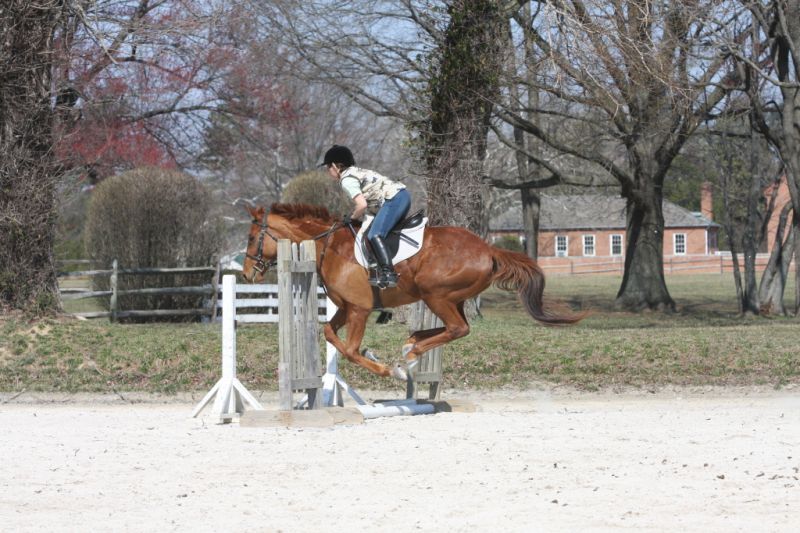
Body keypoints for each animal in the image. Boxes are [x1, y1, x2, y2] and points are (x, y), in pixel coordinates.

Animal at [241, 202, 582, 384]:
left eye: (251, 238)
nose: (247, 273)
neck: (329, 245)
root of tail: (489, 249)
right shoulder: (346, 308)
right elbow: (328, 332)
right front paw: (380, 357)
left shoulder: (359, 310)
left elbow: (350, 350)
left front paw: (389, 370)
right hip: (452, 298)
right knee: (454, 327)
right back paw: (412, 344)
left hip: (436, 294)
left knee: (458, 328)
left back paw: (411, 355)